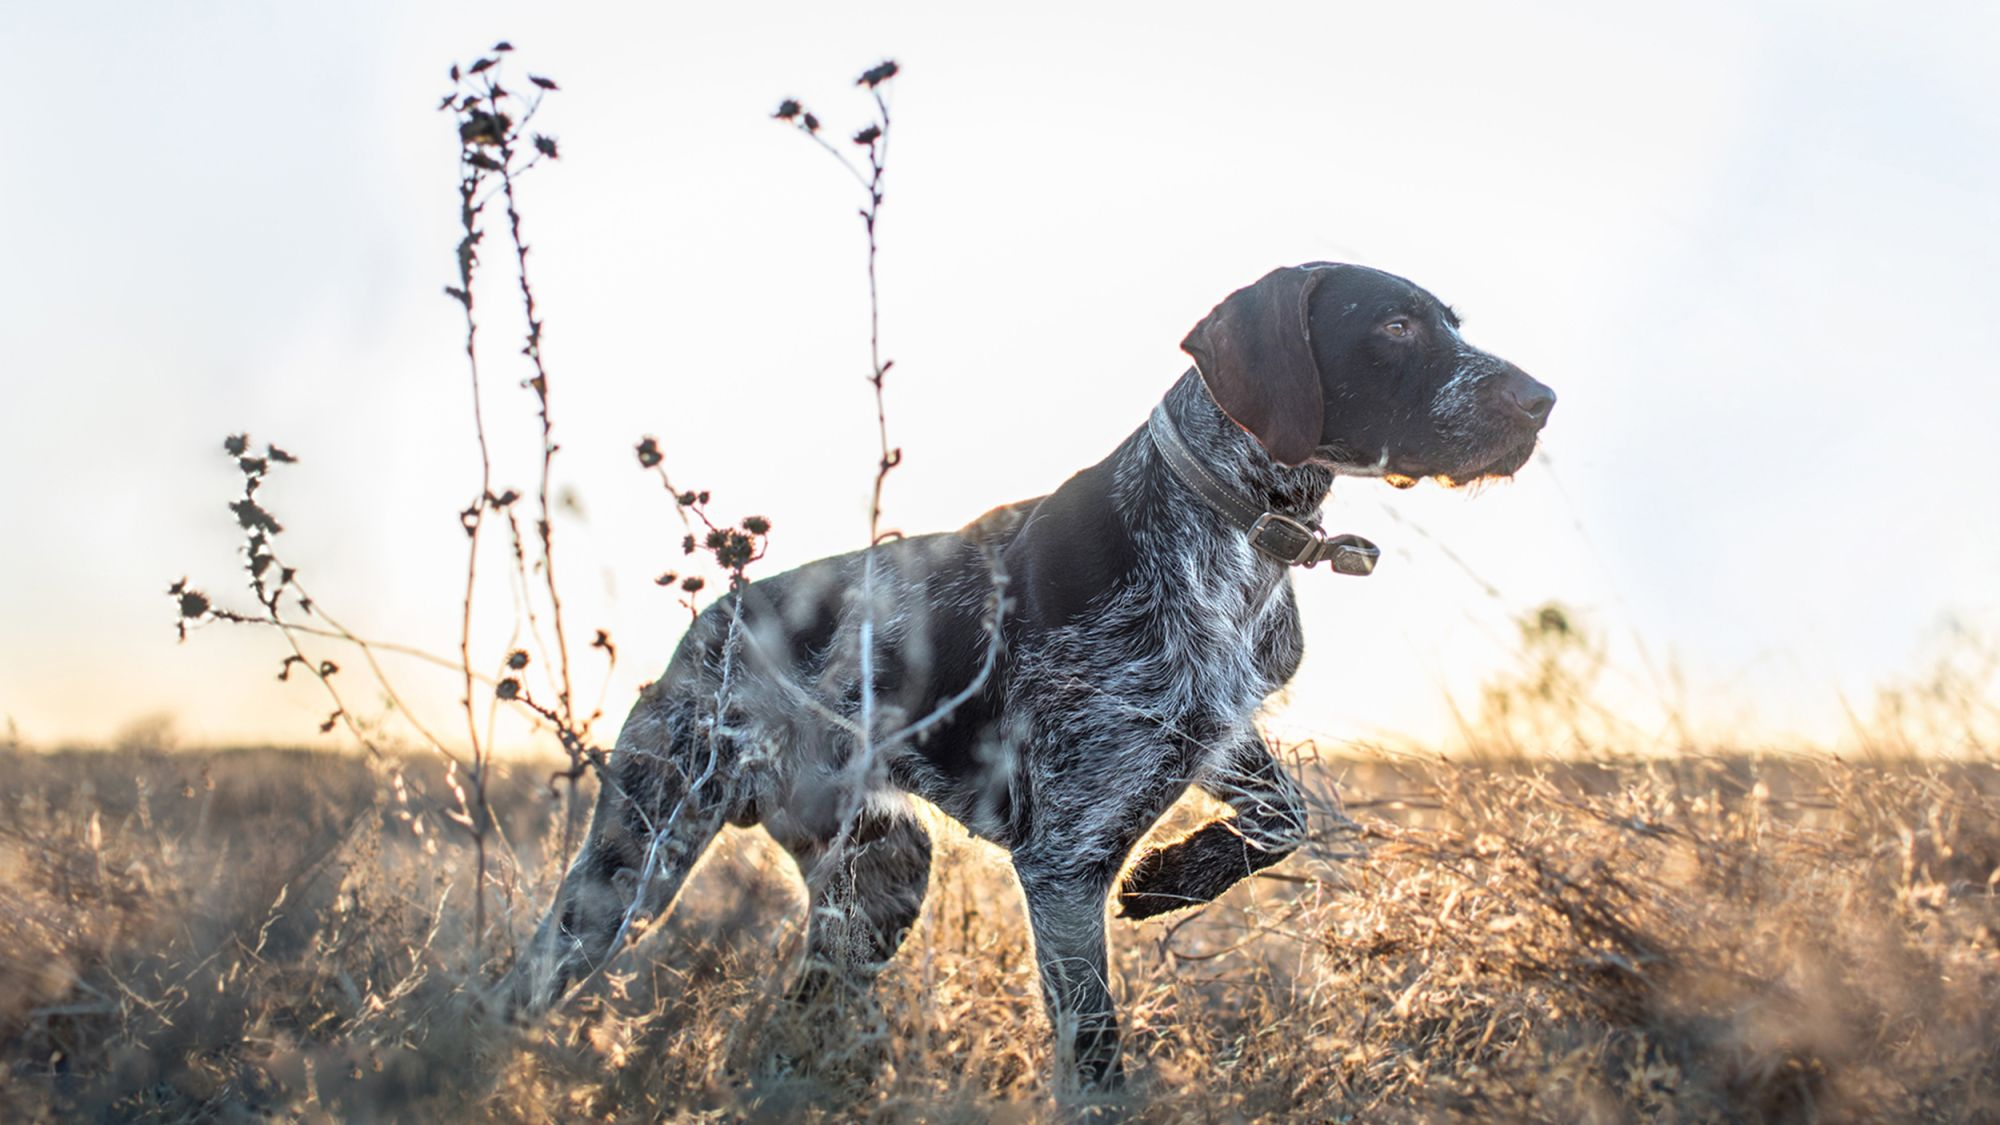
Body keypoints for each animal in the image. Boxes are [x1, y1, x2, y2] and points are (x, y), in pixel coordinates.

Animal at [504, 260, 1560, 1088]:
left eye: (1450, 323)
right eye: (1396, 325)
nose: (1543, 399)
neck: (1227, 529)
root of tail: (712, 621)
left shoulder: (1208, 728)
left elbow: (1288, 813)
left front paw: (1174, 880)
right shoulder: (1063, 863)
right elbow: (1094, 1057)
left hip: (879, 880)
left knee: (790, 1020)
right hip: (637, 863)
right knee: (510, 988)